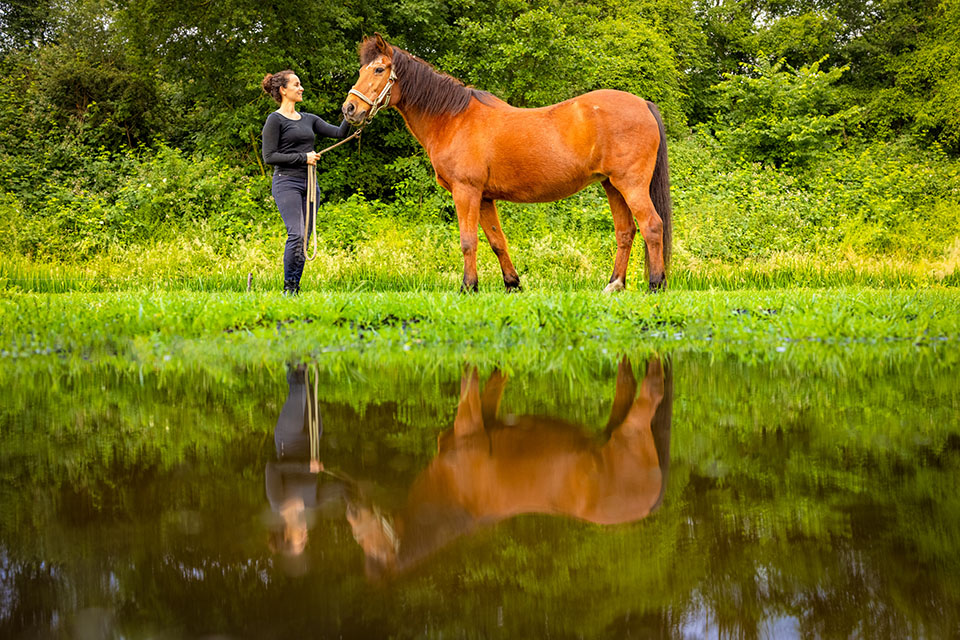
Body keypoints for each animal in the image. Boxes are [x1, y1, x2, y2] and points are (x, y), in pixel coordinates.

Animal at [342, 33, 672, 294]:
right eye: (361, 69)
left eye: (379, 69)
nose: (350, 109)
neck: (452, 119)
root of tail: (643, 104)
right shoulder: (485, 198)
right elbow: (496, 240)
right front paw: (512, 284)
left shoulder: (466, 192)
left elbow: (468, 241)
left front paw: (468, 287)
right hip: (612, 186)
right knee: (625, 232)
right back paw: (614, 285)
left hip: (631, 185)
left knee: (652, 226)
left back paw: (655, 285)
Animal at [346, 356, 676, 580]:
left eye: (366, 540)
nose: (351, 506)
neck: (453, 490)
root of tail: (651, 503)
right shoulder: (488, 416)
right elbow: (495, 378)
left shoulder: (470, 424)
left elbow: (469, 382)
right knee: (627, 383)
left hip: (631, 430)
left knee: (652, 391)